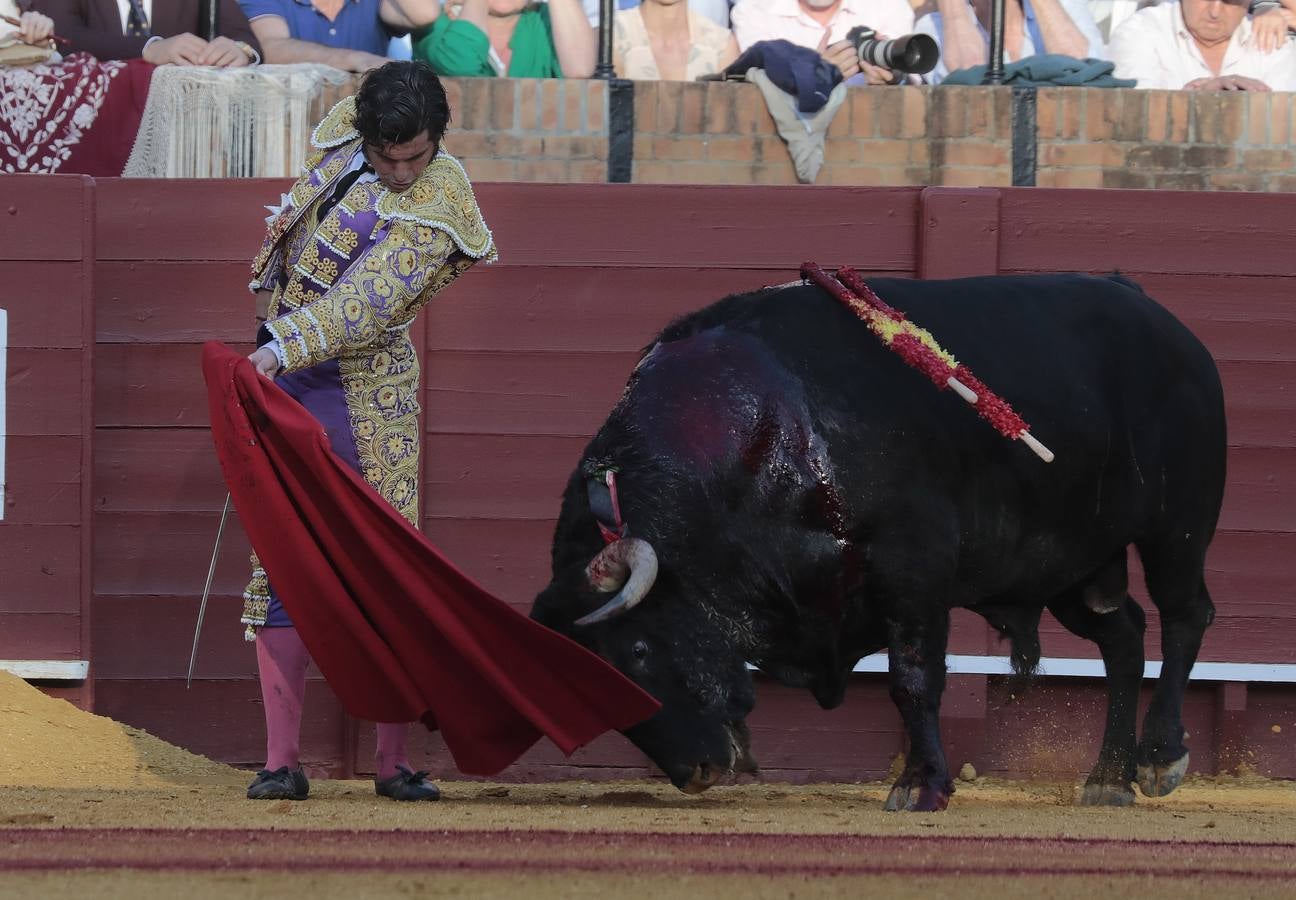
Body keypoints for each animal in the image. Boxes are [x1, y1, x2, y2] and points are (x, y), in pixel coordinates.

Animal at [526, 273, 1223, 809]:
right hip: (1071, 567)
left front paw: (922, 787)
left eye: (640, 651)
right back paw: (1108, 778)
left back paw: (1160, 757)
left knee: (1185, 616)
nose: (694, 773)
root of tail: (1151, 310)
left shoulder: (912, 570)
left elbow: (912, 679)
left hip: (1177, 530)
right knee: (1124, 635)